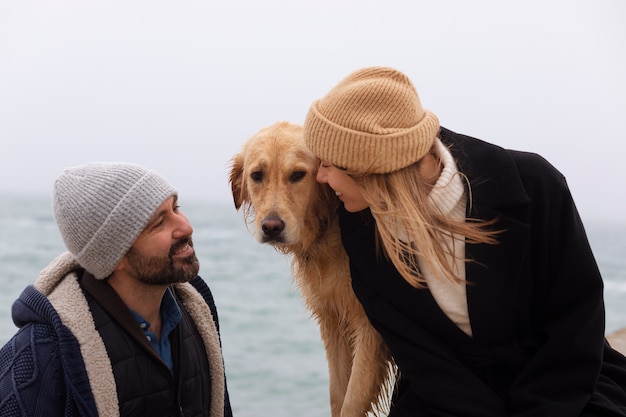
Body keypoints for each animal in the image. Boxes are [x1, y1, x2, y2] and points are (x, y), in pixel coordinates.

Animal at [229, 121, 392, 416]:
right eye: (257, 175)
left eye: (298, 175)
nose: (271, 227)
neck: (330, 224)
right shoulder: (333, 320)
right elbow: (338, 395)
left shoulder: (370, 328)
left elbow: (351, 401)